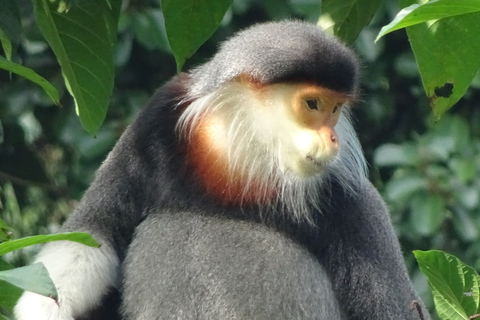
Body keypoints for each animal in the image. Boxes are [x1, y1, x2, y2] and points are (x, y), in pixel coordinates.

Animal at [15, 20, 430, 320]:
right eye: (313, 104)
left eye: (336, 109)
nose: (332, 138)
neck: (242, 159)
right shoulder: (152, 127)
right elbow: (93, 232)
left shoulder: (351, 198)